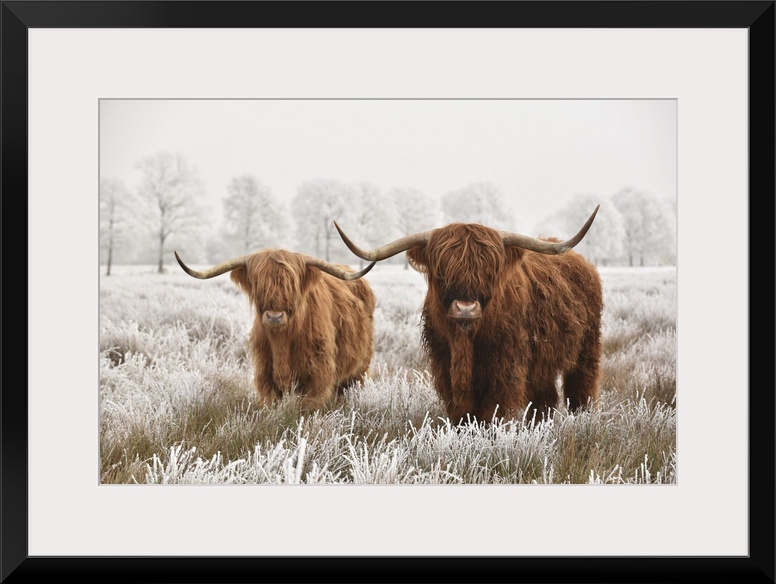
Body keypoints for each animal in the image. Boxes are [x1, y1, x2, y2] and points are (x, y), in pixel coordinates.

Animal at [176, 249, 376, 408]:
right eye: (259, 284)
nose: (274, 316)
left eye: (291, 285)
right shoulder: (265, 375)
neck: (282, 341)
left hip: (360, 369)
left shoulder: (318, 376)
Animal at [336, 209, 604, 424]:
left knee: (581, 389)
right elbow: (462, 413)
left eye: (490, 270)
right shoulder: (445, 366)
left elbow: (492, 413)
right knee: (545, 397)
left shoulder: (506, 369)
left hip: (587, 349)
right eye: (442, 270)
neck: (464, 342)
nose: (465, 308)